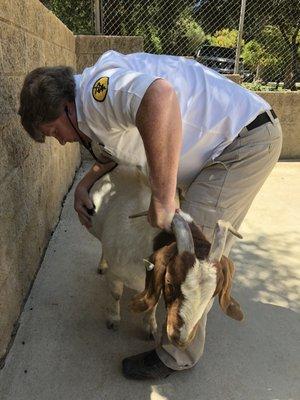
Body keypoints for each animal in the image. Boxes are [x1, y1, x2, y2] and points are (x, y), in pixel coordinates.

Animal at [88, 165, 244, 346]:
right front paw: (113, 319)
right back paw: (102, 265)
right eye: (170, 283)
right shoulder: (115, 274)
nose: (181, 339)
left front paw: (149, 326)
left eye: (214, 292)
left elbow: (153, 301)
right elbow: (115, 295)